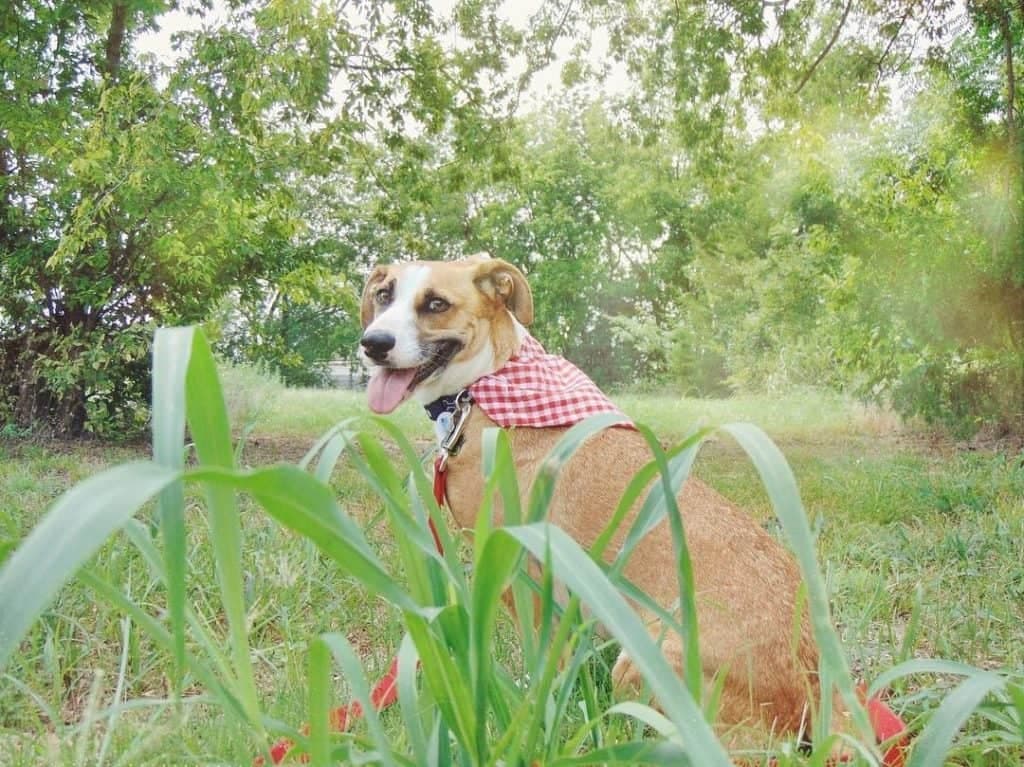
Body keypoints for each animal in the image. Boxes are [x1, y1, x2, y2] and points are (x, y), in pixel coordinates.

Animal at [358, 253, 839, 745]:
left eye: (436, 304)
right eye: (384, 295)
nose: (372, 343)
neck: (488, 384)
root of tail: (812, 696)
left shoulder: (518, 567)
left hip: (645, 665)